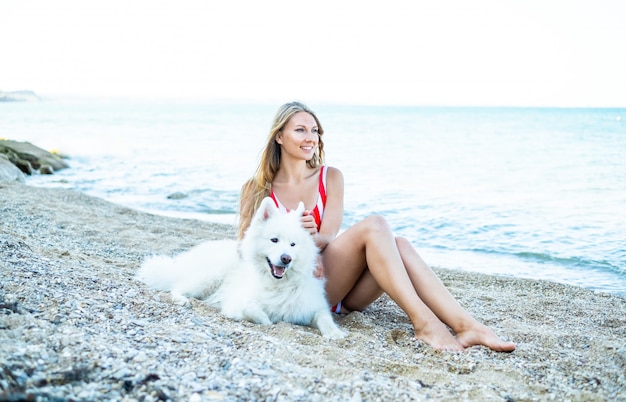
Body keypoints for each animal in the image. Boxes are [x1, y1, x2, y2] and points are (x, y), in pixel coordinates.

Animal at [135, 198, 346, 340]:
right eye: (274, 240)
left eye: (293, 244)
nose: (286, 259)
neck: (278, 284)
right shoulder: (236, 302)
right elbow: (254, 310)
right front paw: (268, 320)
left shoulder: (313, 305)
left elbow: (324, 317)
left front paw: (335, 332)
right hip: (209, 278)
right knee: (177, 288)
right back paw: (182, 300)